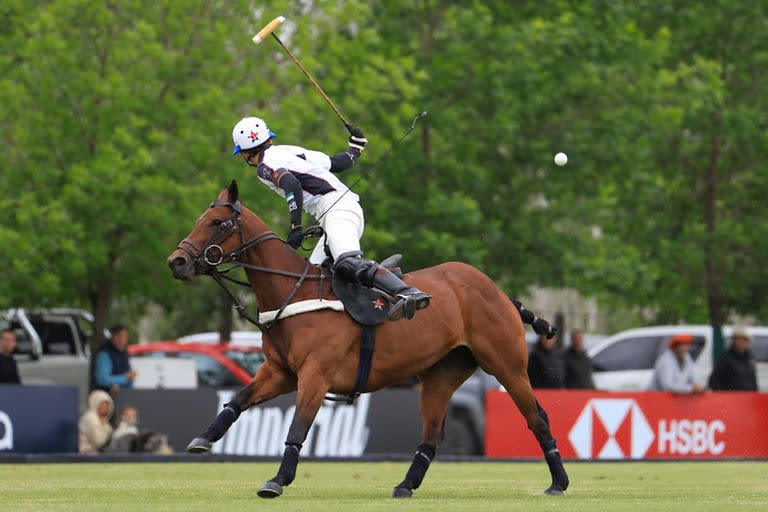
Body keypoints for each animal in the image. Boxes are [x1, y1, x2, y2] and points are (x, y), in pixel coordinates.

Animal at [168, 182, 568, 498]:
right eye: (199, 220)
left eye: (216, 223)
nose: (177, 262)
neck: (293, 292)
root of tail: (500, 292)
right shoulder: (280, 372)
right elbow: (237, 400)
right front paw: (203, 438)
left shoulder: (315, 375)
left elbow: (298, 426)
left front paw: (278, 480)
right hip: (441, 375)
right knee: (433, 433)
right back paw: (406, 485)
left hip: (506, 364)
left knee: (538, 417)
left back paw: (558, 483)